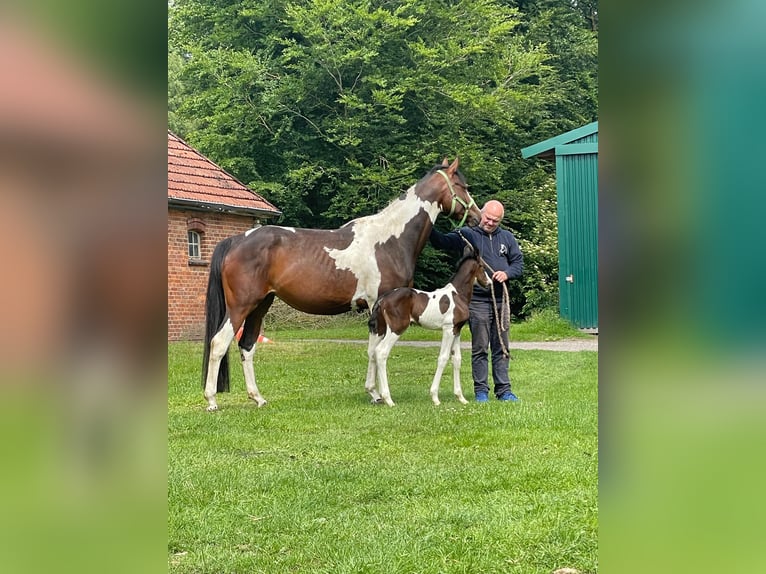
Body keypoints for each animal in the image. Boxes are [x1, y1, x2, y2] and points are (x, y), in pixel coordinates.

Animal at [364, 245, 491, 406]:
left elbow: (456, 359)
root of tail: (383, 299)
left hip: (380, 330)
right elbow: (443, 358)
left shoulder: (457, 330)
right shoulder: (448, 329)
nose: (489, 283)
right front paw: (435, 397)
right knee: (381, 352)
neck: (458, 295)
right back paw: (388, 399)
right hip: (396, 328)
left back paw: (376, 393)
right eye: (482, 266)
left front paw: (461, 398)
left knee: (372, 352)